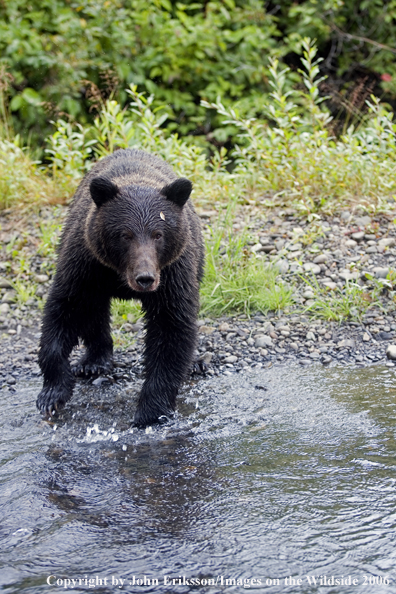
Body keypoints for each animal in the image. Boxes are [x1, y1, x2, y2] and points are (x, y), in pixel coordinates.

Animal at [36, 148, 204, 426]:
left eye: (158, 234)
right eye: (125, 235)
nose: (145, 278)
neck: (120, 275)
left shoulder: (172, 274)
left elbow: (171, 327)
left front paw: (151, 410)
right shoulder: (85, 264)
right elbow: (63, 310)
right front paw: (52, 395)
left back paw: (196, 362)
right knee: (94, 311)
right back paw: (94, 361)